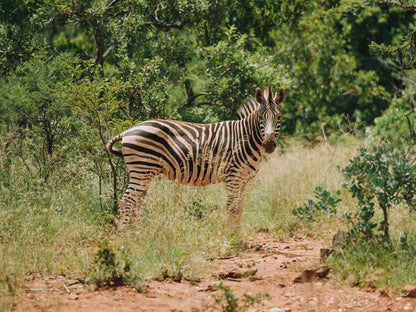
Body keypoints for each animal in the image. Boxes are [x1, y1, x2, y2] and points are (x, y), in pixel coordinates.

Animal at [105, 85, 284, 229]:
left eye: (279, 117)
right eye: (260, 117)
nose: (269, 144)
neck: (245, 138)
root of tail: (128, 131)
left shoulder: (244, 179)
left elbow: (239, 208)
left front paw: (238, 237)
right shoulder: (233, 176)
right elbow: (231, 207)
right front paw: (230, 237)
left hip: (145, 172)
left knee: (137, 202)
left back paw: (139, 235)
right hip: (141, 168)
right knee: (127, 201)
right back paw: (125, 237)